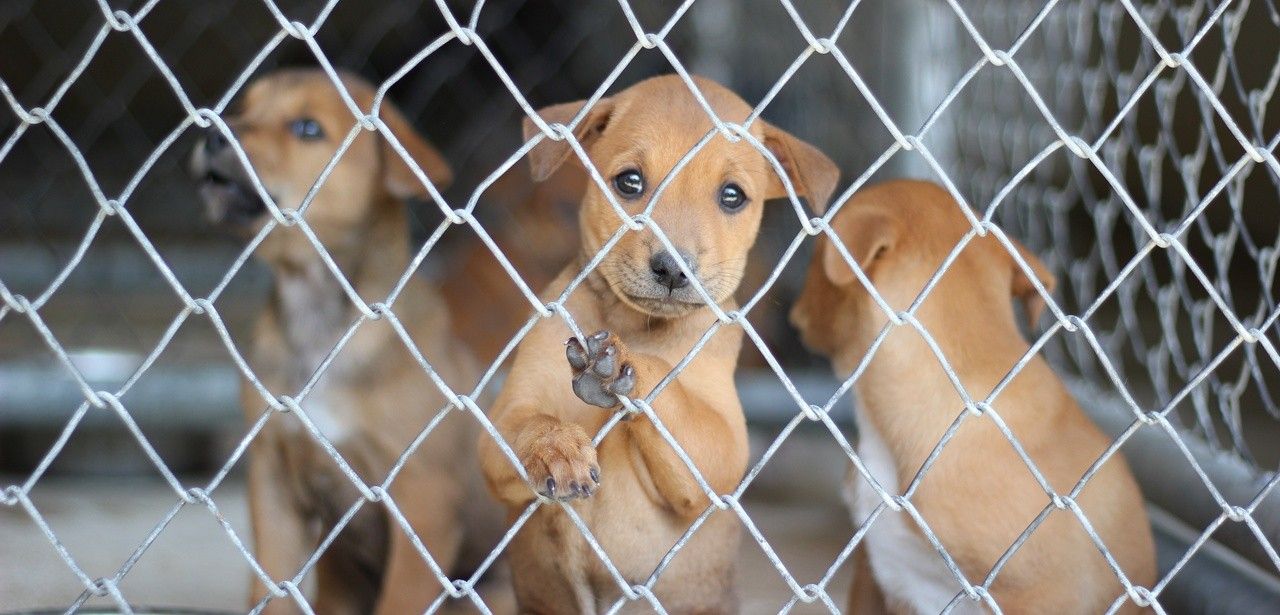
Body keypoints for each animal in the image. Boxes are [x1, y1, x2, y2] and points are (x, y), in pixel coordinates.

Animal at [189, 68, 504, 615]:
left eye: (307, 128)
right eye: (243, 109)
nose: (213, 136)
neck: (318, 318)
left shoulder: (422, 498)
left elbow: (400, 603)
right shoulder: (272, 477)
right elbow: (271, 585)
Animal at [478, 74, 839, 612]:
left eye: (732, 196)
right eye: (629, 181)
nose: (672, 268)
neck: (634, 322)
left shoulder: (723, 451)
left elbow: (669, 391)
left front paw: (620, 365)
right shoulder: (504, 420)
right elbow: (529, 423)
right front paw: (557, 447)